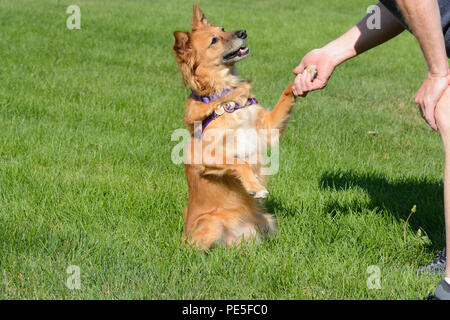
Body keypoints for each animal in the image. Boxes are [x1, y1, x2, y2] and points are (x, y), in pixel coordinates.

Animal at [174, 5, 314, 250]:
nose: (243, 32)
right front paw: (255, 187)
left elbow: (286, 94)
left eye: (222, 28)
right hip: (211, 223)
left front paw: (306, 75)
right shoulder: (203, 155)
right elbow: (238, 162)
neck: (225, 98)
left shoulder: (267, 128)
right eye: (214, 40)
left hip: (267, 220)